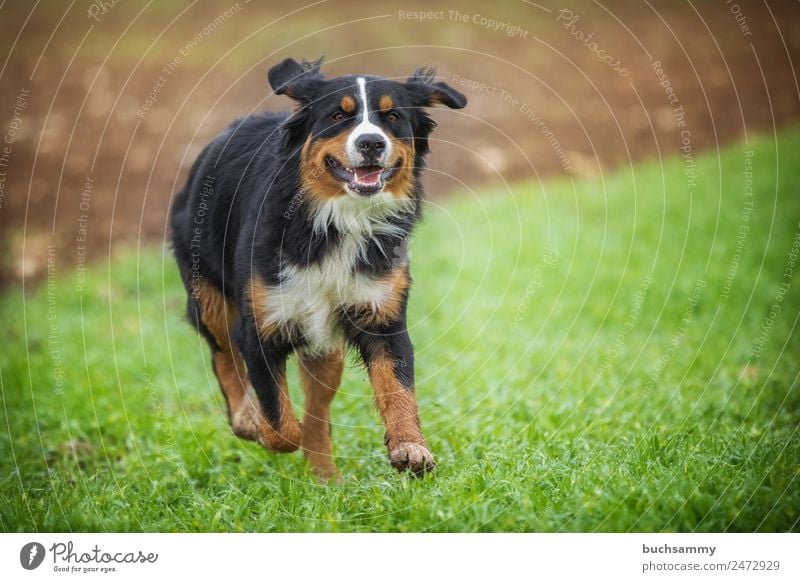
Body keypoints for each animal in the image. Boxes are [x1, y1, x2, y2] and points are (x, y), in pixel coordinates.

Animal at [172, 57, 466, 482]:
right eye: (338, 116)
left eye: (393, 117)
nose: (372, 143)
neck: (338, 220)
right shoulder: (260, 324)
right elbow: (280, 425)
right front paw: (259, 425)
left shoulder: (382, 315)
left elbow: (397, 388)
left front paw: (410, 447)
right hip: (207, 288)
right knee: (222, 353)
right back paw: (244, 417)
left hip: (326, 346)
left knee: (318, 409)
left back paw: (326, 478)